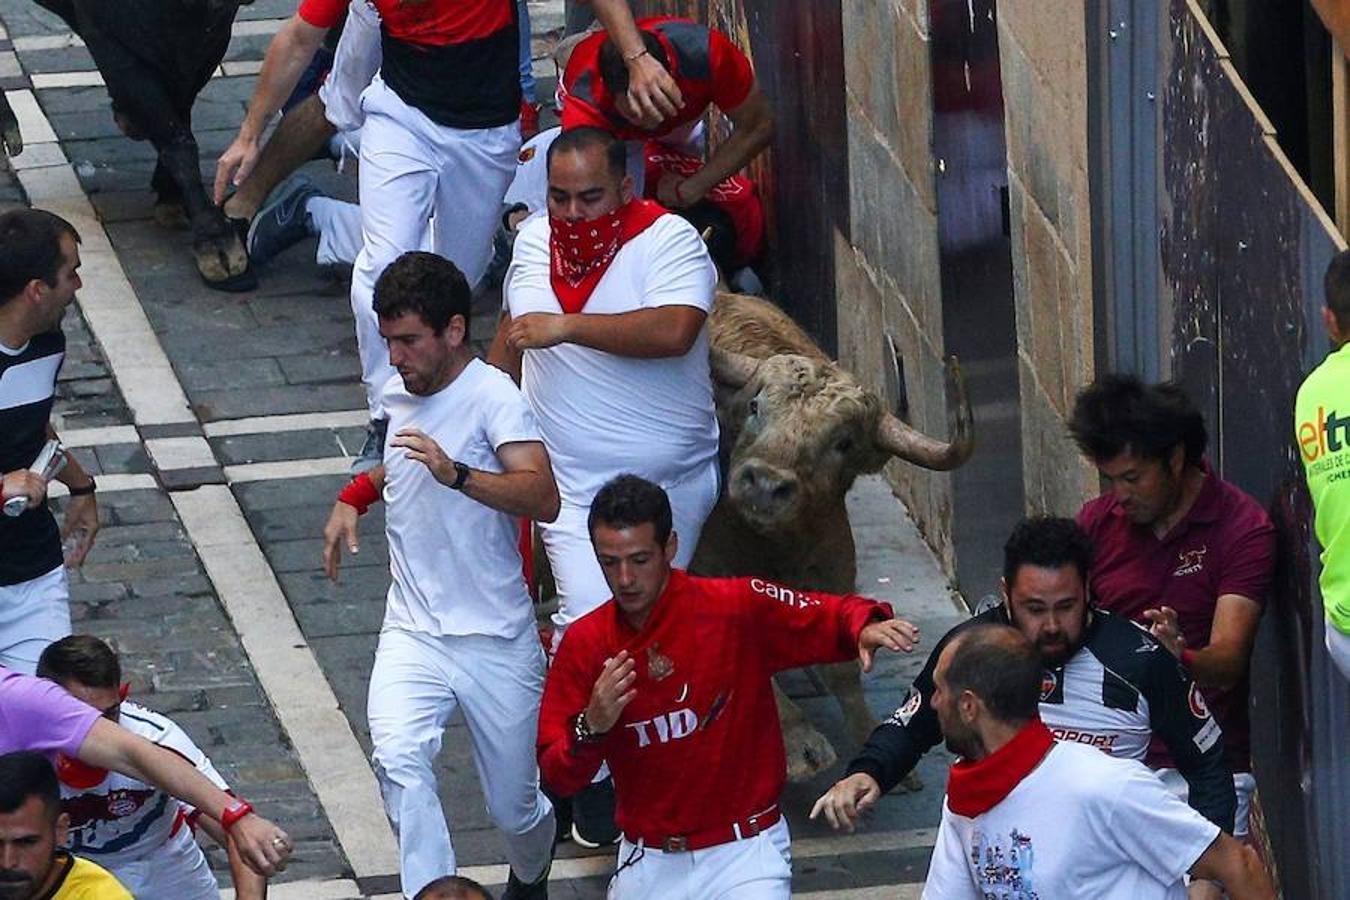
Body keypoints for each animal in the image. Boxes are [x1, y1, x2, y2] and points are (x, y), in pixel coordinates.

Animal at [0, 0, 255, 288]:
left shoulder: (210, 40)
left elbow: (180, 117)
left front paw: (168, 193)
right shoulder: (110, 43)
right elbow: (178, 141)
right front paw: (215, 240)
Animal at [696, 294, 972, 782]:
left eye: (842, 442)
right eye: (755, 406)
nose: (764, 484)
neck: (771, 545)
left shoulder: (833, 560)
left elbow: (843, 665)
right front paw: (801, 746)